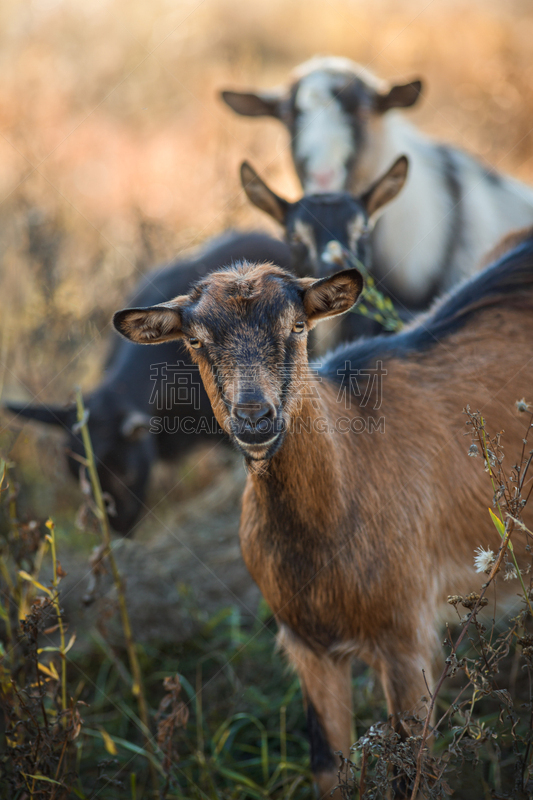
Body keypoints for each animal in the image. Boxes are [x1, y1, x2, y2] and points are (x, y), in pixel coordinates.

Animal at [114, 234, 532, 796]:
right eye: (196, 340)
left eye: (296, 326)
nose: (254, 417)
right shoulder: (306, 644)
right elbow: (328, 767)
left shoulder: (406, 636)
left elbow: (409, 770)